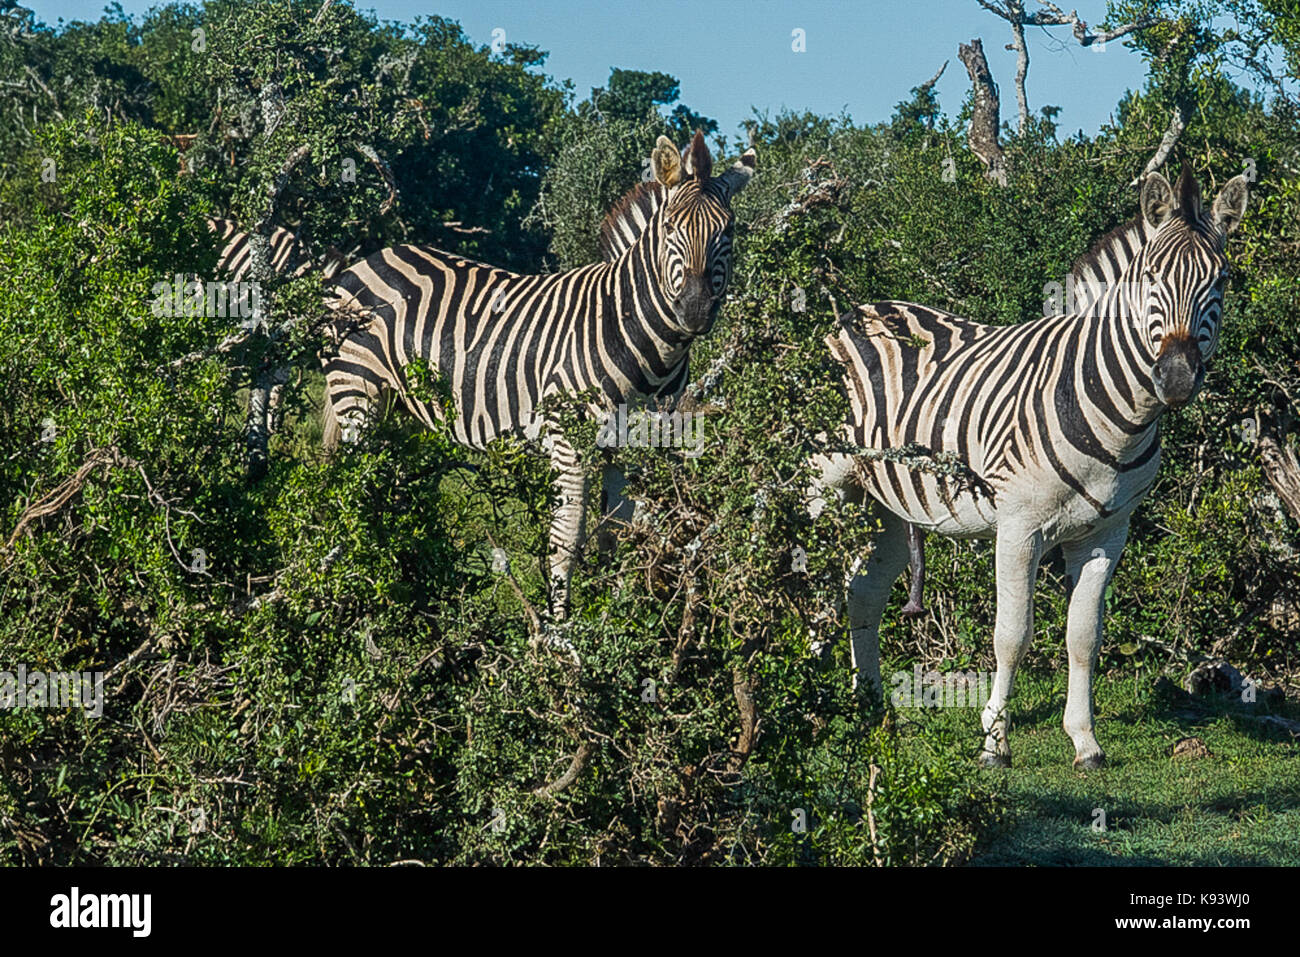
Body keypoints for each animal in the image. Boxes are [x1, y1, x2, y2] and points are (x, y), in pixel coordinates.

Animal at [318, 132, 759, 613]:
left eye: (729, 232)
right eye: (670, 230)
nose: (695, 311)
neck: (641, 339)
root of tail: (366, 260)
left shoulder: (631, 447)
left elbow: (616, 536)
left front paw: (616, 615)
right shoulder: (569, 443)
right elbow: (566, 542)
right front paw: (559, 626)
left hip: (401, 410)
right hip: (358, 395)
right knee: (357, 486)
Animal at [811, 170, 1248, 769]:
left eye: (1221, 280)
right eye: (1151, 276)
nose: (1177, 377)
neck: (1117, 414)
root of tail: (856, 313)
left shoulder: (1107, 533)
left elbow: (1084, 636)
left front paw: (1085, 741)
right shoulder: (1019, 527)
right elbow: (1012, 635)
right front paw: (994, 742)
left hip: (888, 507)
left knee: (863, 593)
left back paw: (872, 710)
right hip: (823, 485)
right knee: (810, 587)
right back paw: (808, 705)